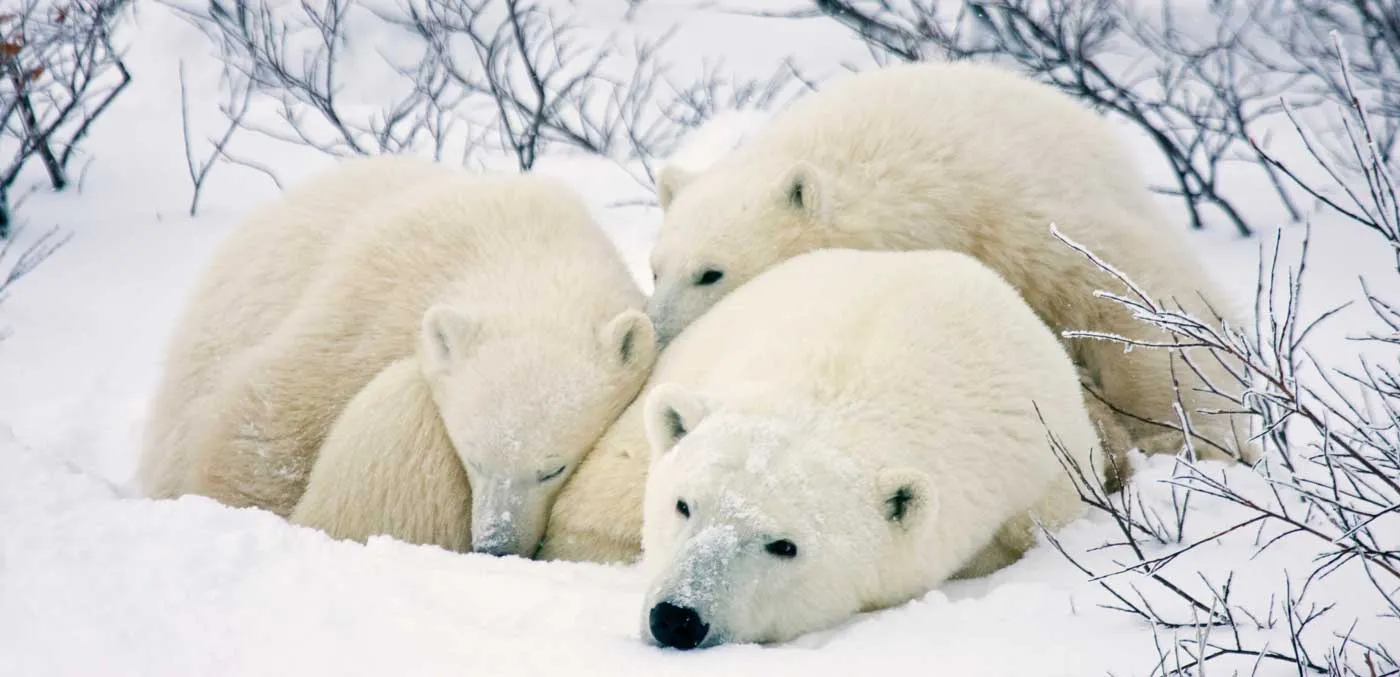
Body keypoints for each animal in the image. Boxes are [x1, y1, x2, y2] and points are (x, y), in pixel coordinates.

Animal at [137, 155, 657, 557]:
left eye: (553, 468)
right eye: (472, 458)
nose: (497, 545)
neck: (522, 248)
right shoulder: (374, 301)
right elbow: (274, 411)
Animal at [647, 59, 1257, 468]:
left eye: (710, 272)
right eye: (656, 269)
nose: (658, 334)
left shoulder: (1022, 215)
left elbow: (1123, 297)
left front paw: (1186, 435)